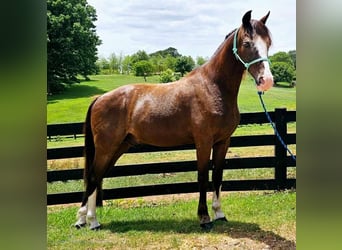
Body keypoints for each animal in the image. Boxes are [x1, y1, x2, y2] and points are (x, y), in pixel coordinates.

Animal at [76, 10, 274, 230]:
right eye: (247, 43)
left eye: (268, 42)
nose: (266, 81)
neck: (213, 87)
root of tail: (99, 98)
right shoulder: (203, 142)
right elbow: (203, 176)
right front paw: (204, 218)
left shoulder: (223, 142)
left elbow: (217, 176)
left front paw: (219, 213)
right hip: (106, 147)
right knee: (93, 177)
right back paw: (91, 221)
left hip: (118, 146)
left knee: (97, 177)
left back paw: (85, 219)